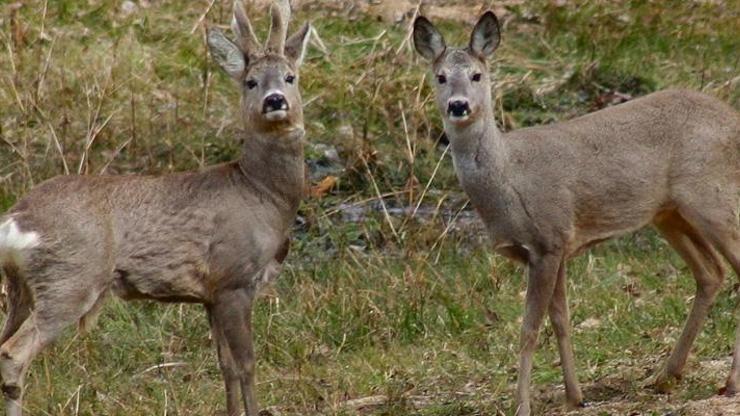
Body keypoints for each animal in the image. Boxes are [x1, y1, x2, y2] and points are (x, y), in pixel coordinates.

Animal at [0, 1, 310, 414]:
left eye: (291, 77)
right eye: (251, 81)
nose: (275, 100)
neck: (262, 193)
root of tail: (16, 218)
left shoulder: (210, 294)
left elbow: (225, 366)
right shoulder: (234, 278)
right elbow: (247, 364)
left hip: (21, 288)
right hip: (69, 278)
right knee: (13, 353)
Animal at [414, 9, 736, 416]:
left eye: (477, 75)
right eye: (440, 77)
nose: (458, 105)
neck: (508, 178)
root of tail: (733, 118)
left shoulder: (548, 240)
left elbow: (529, 330)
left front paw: (522, 405)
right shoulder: (556, 248)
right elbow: (561, 320)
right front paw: (574, 395)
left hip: (712, 196)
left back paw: (727, 382)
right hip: (669, 213)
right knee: (711, 273)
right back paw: (665, 376)